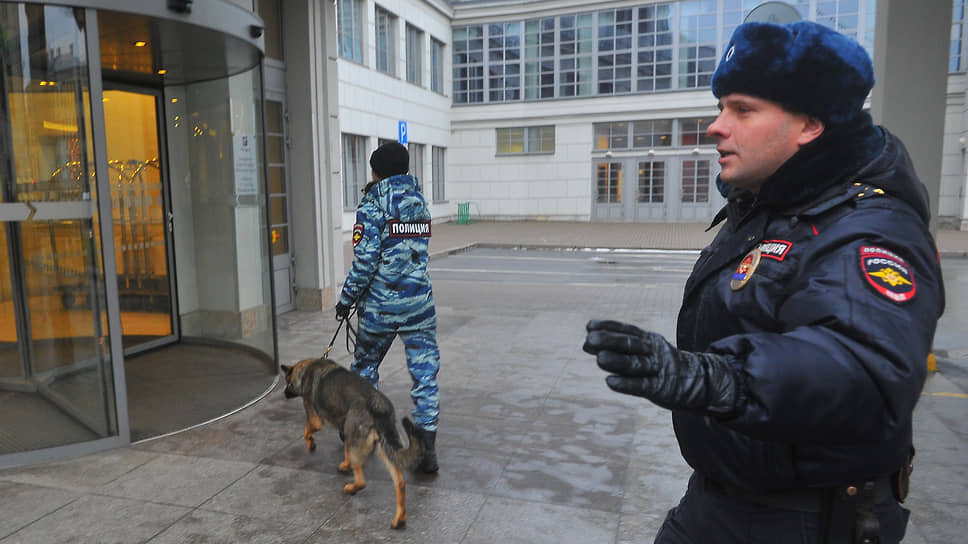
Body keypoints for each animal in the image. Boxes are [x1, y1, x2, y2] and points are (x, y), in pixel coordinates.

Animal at [280, 360, 424, 528]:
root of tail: (378, 405)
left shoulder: (315, 420)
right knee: (400, 483)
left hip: (362, 444)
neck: (307, 369)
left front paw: (310, 443)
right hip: (386, 449)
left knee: (362, 482)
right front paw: (345, 464)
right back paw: (399, 517)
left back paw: (351, 488)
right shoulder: (345, 429)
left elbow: (306, 429)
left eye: (287, 382)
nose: (284, 393)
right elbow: (345, 450)